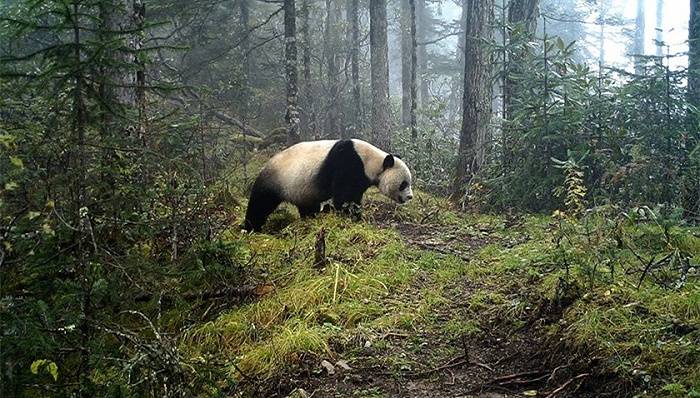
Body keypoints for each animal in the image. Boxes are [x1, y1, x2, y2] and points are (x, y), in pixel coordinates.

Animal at [243, 140, 412, 233]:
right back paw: (250, 228)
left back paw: (311, 217)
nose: (410, 197)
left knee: (307, 206)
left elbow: (354, 196)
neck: (371, 160)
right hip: (276, 179)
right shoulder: (347, 163)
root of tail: (265, 165)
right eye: (404, 184)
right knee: (260, 203)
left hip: (302, 189)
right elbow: (344, 197)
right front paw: (352, 217)